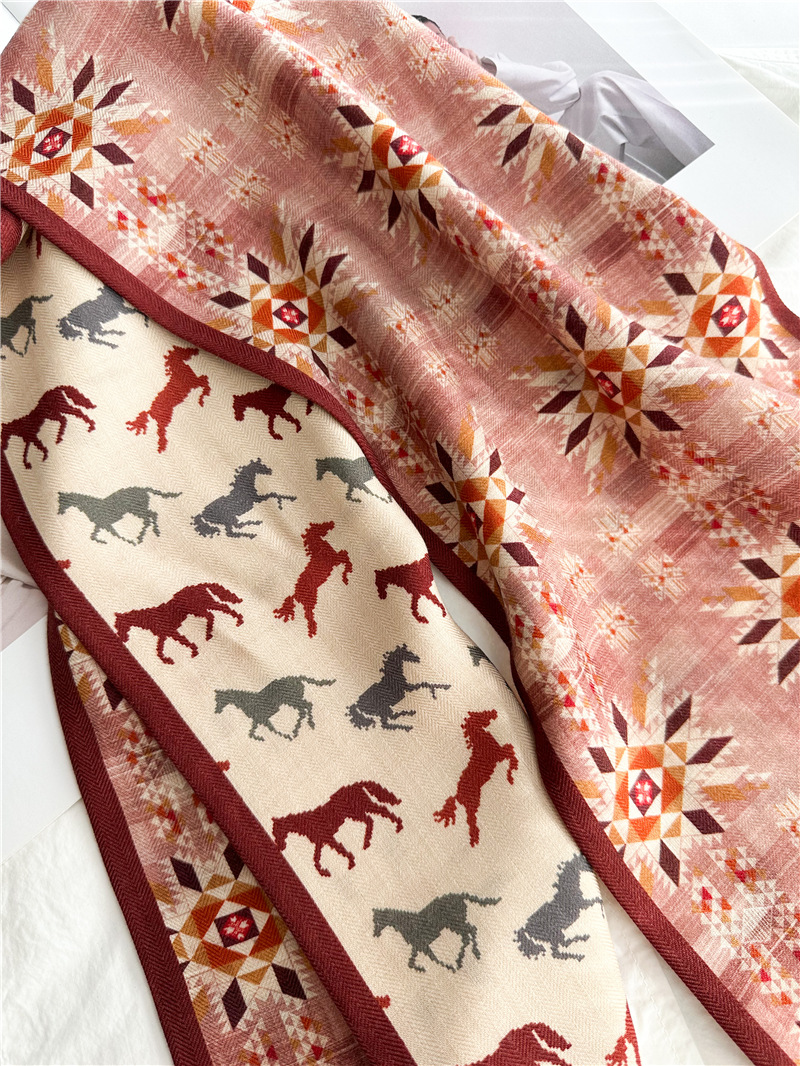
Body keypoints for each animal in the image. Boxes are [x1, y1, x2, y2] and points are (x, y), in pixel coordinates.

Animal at [115, 582, 243, 664]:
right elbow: (160, 650)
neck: (149, 619)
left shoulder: (171, 631)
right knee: (217, 612)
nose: (122, 639)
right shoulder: (164, 635)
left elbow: (182, 641)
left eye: (118, 626)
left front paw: (194, 651)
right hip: (203, 607)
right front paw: (167, 660)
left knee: (217, 612)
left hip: (200, 608)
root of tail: (198, 585)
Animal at [272, 780, 402, 876]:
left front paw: (350, 862)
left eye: (276, 832)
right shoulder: (320, 842)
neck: (306, 823)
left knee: (378, 814)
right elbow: (316, 859)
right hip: (358, 812)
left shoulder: (327, 837)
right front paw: (325, 871)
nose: (280, 847)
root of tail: (356, 784)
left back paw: (394, 827)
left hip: (359, 810)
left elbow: (339, 849)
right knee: (374, 817)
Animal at [434, 709, 518, 847]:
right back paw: (475, 838)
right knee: (471, 819)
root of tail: (457, 795)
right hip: (473, 803)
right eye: (481, 714)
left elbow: (510, 750)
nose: (494, 712)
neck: (480, 739)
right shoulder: (499, 755)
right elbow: (510, 750)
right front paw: (511, 773)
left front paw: (511, 773)